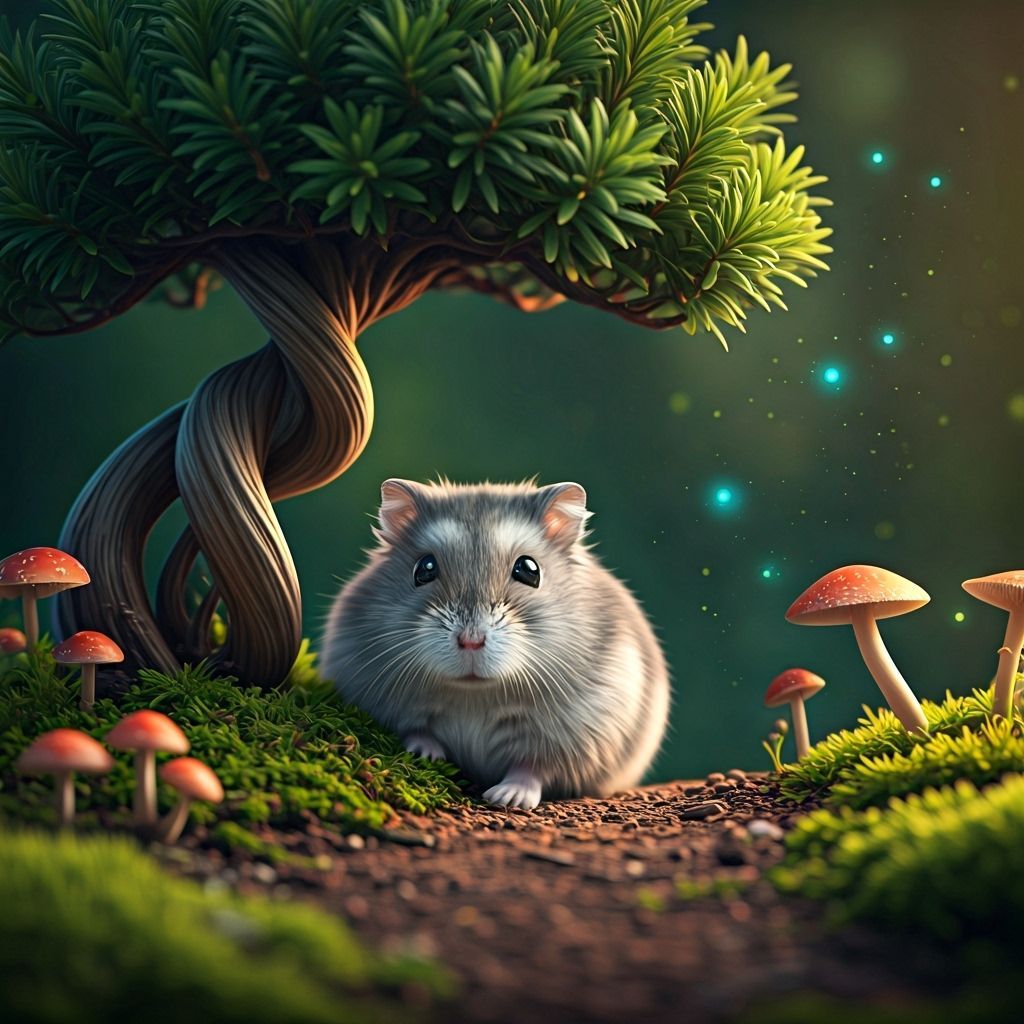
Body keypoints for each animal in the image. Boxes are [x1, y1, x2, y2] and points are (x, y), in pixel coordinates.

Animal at [320, 478, 670, 810]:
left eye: (529, 570)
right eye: (424, 569)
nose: (470, 641)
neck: (474, 695)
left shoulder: (576, 733)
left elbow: (532, 767)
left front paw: (506, 798)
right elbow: (417, 731)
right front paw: (425, 754)